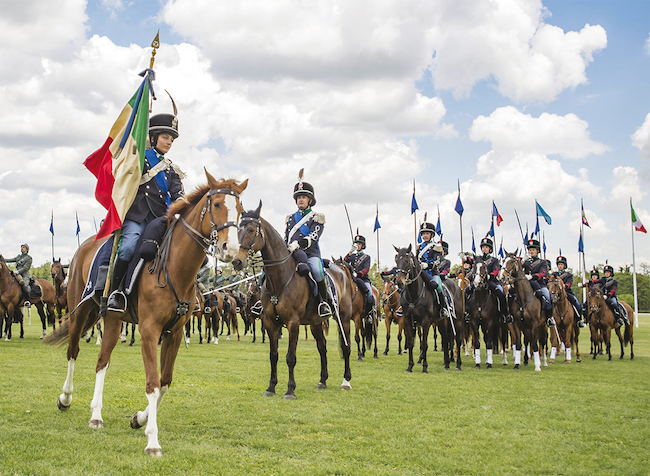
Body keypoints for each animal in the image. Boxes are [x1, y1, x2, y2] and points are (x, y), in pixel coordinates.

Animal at [43, 173, 246, 456]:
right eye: (216, 204)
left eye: (240, 210)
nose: (231, 250)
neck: (173, 266)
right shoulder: (150, 330)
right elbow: (152, 382)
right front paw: (152, 441)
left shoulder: (174, 332)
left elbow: (165, 381)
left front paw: (139, 418)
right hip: (78, 312)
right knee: (73, 352)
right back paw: (65, 398)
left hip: (113, 319)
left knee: (102, 362)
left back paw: (96, 415)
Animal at [233, 203, 352, 400]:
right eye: (238, 231)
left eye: (250, 229)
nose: (237, 261)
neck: (280, 277)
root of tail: (342, 272)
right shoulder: (270, 322)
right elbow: (273, 355)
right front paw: (271, 387)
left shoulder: (293, 322)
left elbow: (290, 357)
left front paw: (290, 390)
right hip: (315, 323)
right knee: (322, 347)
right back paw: (323, 380)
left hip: (343, 319)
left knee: (347, 346)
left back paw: (346, 381)